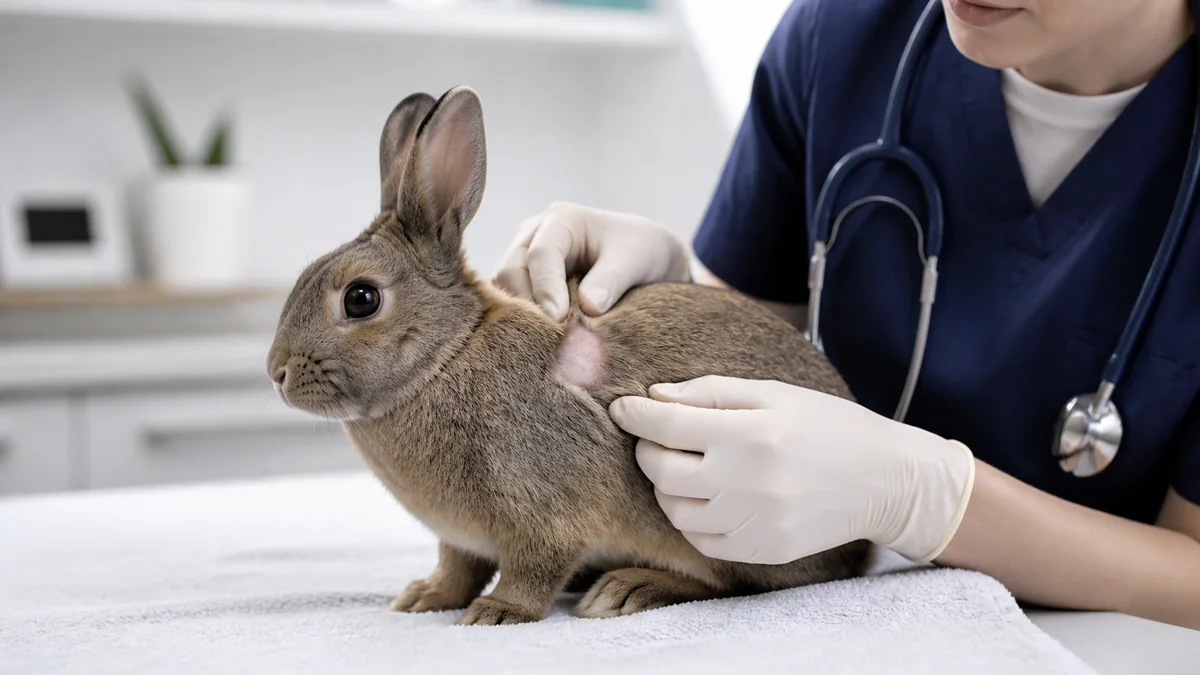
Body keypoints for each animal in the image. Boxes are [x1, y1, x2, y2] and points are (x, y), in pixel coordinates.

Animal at [267, 85, 873, 626]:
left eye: (361, 298)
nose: (276, 372)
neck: (448, 354)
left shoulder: (543, 509)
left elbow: (533, 568)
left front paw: (496, 613)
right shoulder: (460, 539)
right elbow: (458, 567)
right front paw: (424, 597)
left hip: (725, 530)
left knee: (735, 583)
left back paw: (625, 590)